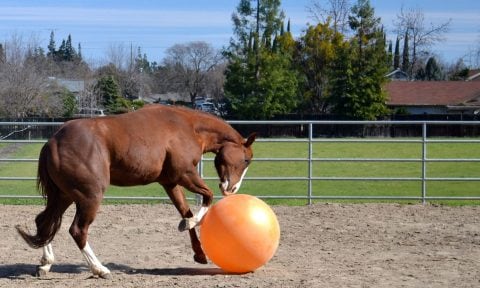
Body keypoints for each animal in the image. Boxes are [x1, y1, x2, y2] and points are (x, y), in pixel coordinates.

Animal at [15, 104, 255, 278]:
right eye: (246, 159)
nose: (231, 188)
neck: (187, 127)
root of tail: (52, 142)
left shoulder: (170, 182)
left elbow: (185, 211)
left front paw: (198, 251)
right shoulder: (185, 174)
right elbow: (207, 197)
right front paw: (191, 223)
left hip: (63, 195)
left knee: (44, 223)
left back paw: (45, 265)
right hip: (88, 197)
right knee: (77, 230)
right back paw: (100, 269)